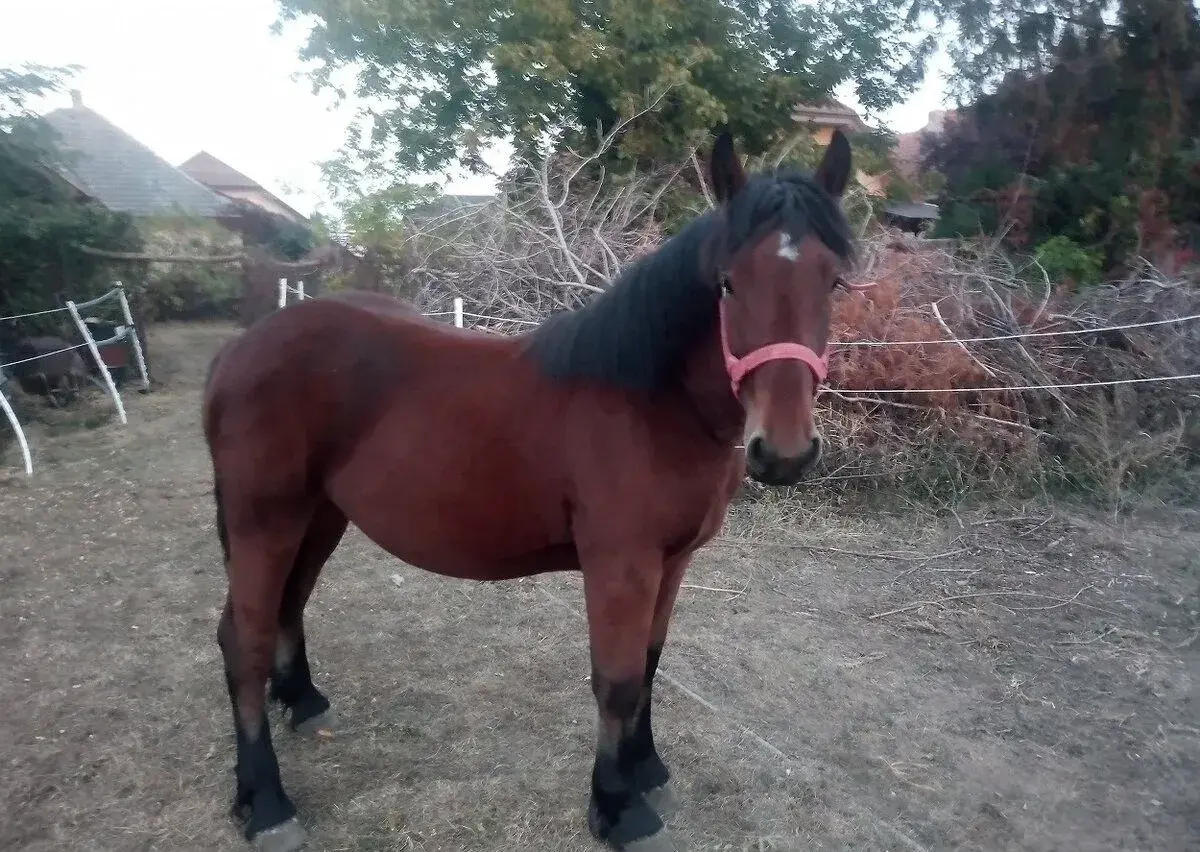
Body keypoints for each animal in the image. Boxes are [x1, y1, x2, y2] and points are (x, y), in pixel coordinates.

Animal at [202, 129, 862, 852]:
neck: (649, 401)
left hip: (320, 515)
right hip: (265, 520)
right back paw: (266, 803)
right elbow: (618, 679)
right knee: (244, 640)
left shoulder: (674, 561)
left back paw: (304, 703)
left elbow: (651, 662)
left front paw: (646, 768)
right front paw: (618, 808)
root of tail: (242, 350)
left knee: (289, 605)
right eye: (728, 283)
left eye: (833, 281)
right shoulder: (621, 565)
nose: (786, 452)